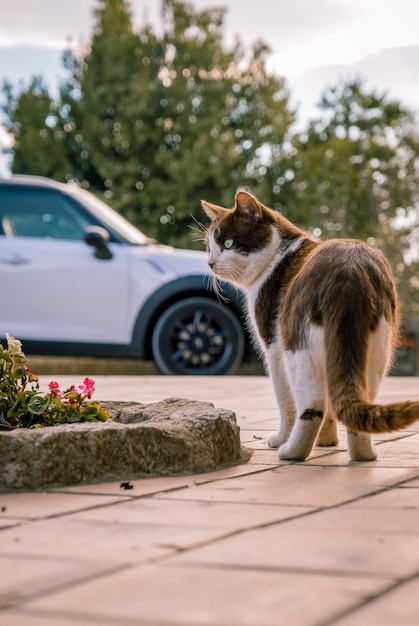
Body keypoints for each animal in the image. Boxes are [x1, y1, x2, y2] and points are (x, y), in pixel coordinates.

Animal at [203, 189, 419, 458]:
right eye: (208, 247)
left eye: (228, 244)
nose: (209, 263)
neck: (280, 257)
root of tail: (349, 271)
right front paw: (327, 440)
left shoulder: (274, 347)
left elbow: (285, 402)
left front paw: (281, 438)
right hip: (376, 350)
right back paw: (363, 456)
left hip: (297, 348)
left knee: (312, 405)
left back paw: (290, 452)